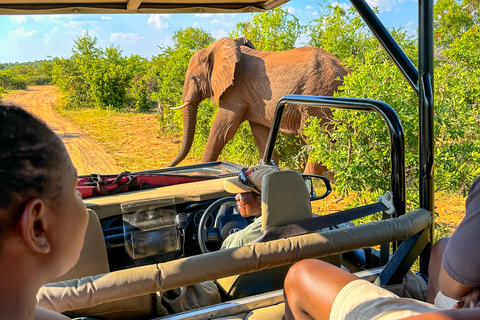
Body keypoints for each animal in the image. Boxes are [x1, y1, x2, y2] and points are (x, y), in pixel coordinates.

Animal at [169, 37, 348, 175]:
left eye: (193, 78)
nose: (169, 166)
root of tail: (347, 71)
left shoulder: (235, 90)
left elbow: (222, 129)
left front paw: (204, 171)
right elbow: (261, 134)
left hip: (319, 97)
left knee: (316, 139)